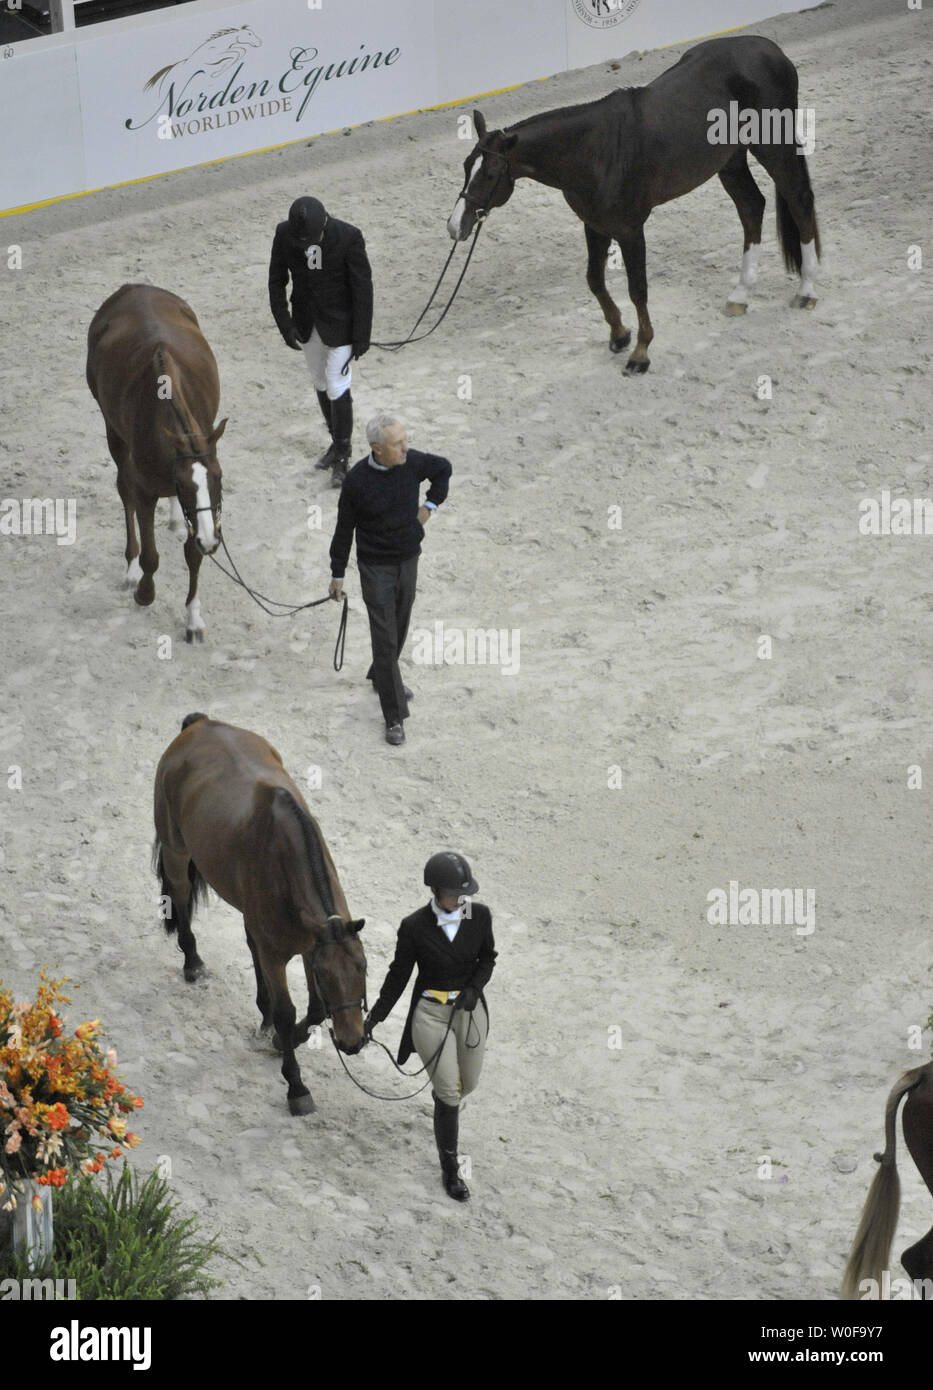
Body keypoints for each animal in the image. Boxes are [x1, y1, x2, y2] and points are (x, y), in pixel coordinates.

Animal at [85, 287, 228, 644]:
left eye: (219, 478)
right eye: (188, 486)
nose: (212, 539)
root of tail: (133, 288)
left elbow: (193, 552)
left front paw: (193, 618)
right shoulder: (146, 491)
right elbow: (151, 553)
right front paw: (145, 591)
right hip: (114, 434)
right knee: (124, 493)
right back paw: (131, 568)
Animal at [151, 711, 367, 1112]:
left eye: (362, 968)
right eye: (328, 976)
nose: (351, 1041)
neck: (288, 859)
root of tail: (199, 724)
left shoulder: (310, 945)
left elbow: (315, 1009)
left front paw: (283, 1038)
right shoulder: (279, 955)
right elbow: (287, 1012)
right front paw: (296, 1085)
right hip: (176, 852)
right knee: (182, 901)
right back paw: (193, 962)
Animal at [447, 36, 823, 375]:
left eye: (490, 173)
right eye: (466, 166)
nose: (455, 225)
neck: (596, 152)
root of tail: (772, 49)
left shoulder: (630, 230)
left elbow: (637, 290)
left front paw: (640, 353)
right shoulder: (594, 225)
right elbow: (594, 280)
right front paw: (619, 335)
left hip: (774, 148)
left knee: (799, 200)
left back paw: (806, 290)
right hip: (730, 160)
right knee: (751, 207)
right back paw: (740, 295)